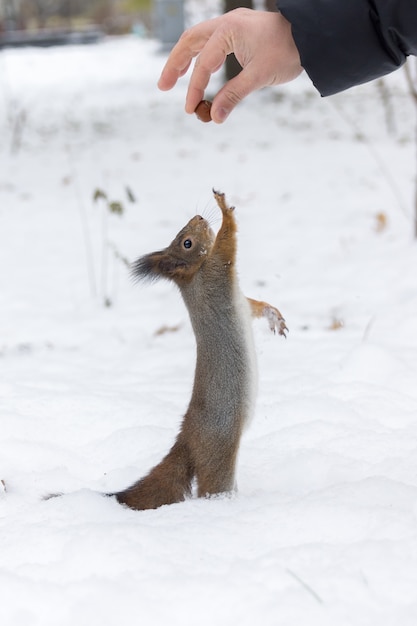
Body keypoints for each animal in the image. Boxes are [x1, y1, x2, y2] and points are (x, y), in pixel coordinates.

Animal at [110, 189, 286, 508]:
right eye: (187, 243)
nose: (199, 217)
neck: (195, 276)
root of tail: (187, 438)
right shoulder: (218, 269)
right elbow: (228, 241)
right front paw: (224, 208)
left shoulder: (238, 297)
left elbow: (255, 305)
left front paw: (273, 315)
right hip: (220, 450)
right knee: (212, 486)